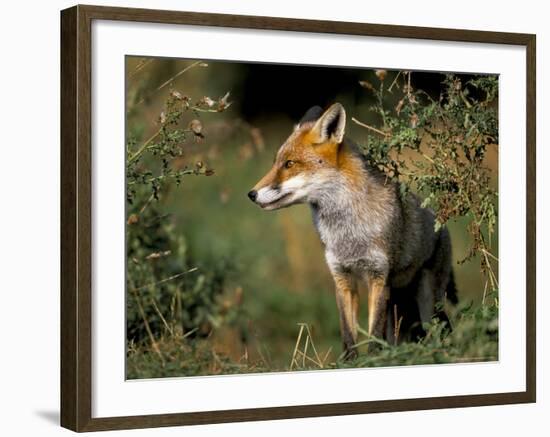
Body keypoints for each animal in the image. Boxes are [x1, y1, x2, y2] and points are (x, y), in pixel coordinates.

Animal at [249, 103, 458, 358]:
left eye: (289, 164)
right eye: (276, 163)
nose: (251, 194)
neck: (348, 234)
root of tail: (441, 224)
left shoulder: (379, 277)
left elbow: (374, 334)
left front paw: (375, 360)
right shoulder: (342, 278)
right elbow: (348, 335)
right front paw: (350, 362)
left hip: (429, 303)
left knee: (442, 330)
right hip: (399, 305)